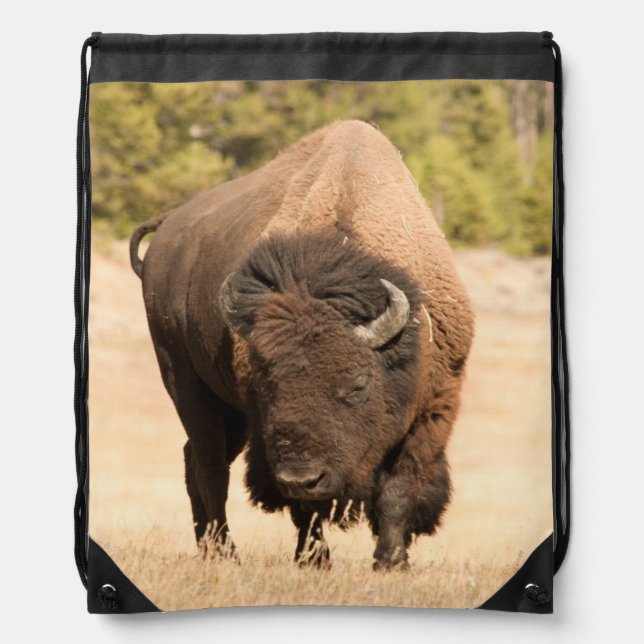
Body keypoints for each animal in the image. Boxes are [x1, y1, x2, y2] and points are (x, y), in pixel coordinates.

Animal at [130, 120, 474, 570]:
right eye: (268, 384)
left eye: (357, 384)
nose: (302, 477)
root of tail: (168, 229)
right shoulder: (268, 434)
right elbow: (305, 509)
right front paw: (315, 561)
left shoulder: (434, 407)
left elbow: (399, 489)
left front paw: (391, 562)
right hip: (185, 383)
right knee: (209, 467)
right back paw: (225, 553)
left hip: (229, 413)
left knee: (195, 461)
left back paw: (209, 549)